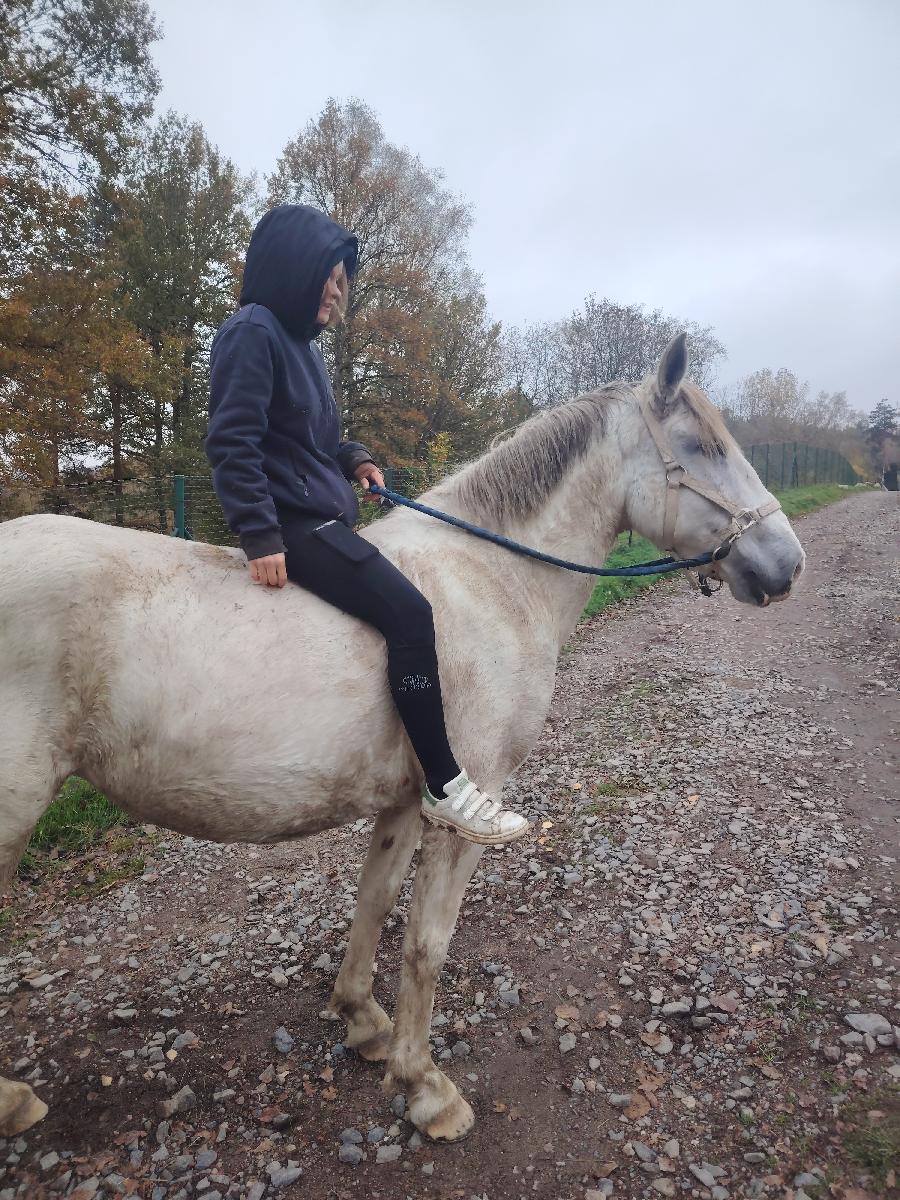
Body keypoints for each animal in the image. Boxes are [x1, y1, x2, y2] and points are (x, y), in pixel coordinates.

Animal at [0, 340, 801, 1142]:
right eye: (701, 447)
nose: (786, 563)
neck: (494, 581)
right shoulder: (466, 807)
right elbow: (426, 943)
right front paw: (425, 1088)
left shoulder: (403, 801)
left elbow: (375, 902)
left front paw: (362, 1022)